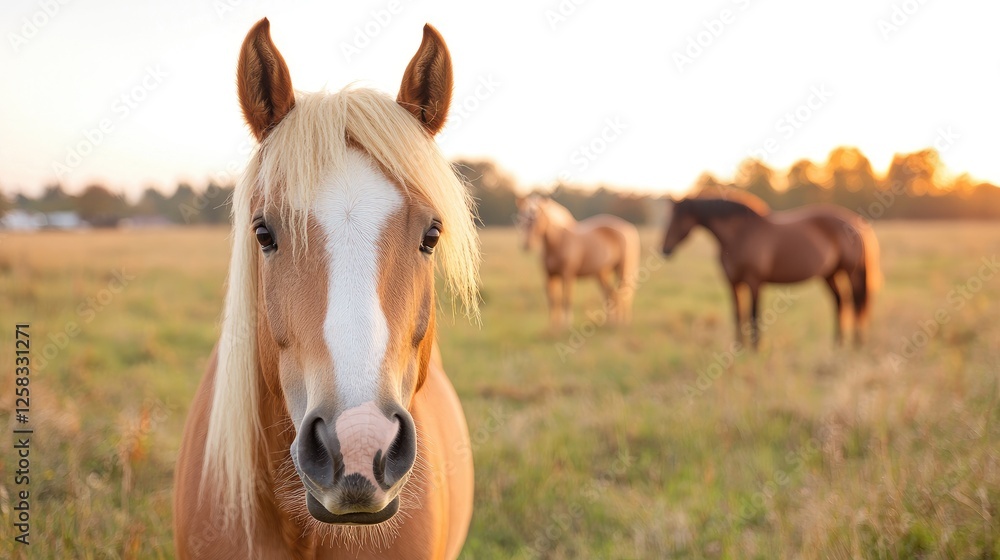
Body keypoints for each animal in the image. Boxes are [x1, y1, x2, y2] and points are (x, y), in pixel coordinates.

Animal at [516, 195, 640, 331]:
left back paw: (622, 323)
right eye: (521, 216)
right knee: (610, 294)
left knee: (624, 293)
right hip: (602, 273)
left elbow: (566, 299)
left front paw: (566, 325)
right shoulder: (549, 276)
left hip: (622, 269)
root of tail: (628, 228)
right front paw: (553, 328)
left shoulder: (567, 275)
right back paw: (611, 323)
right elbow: (553, 301)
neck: (558, 241)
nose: (527, 245)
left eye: (537, 217)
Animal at [660, 193, 880, 348]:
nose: (665, 250)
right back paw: (838, 345)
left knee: (856, 302)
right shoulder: (733, 284)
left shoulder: (754, 282)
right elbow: (738, 315)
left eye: (678, 219)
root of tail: (855, 221)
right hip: (830, 275)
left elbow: (753, 315)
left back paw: (856, 345)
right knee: (840, 302)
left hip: (851, 273)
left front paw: (755, 349)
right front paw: (739, 348)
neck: (740, 234)